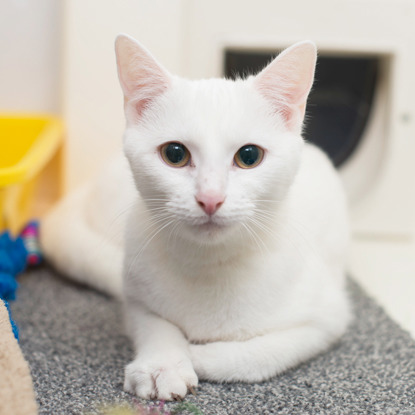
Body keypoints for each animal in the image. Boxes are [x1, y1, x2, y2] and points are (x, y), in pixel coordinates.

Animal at [40, 34, 352, 402]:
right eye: (174, 154)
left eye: (249, 156)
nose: (210, 198)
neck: (210, 265)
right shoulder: (135, 298)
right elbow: (155, 324)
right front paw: (162, 363)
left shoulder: (327, 319)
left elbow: (259, 354)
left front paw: (196, 355)